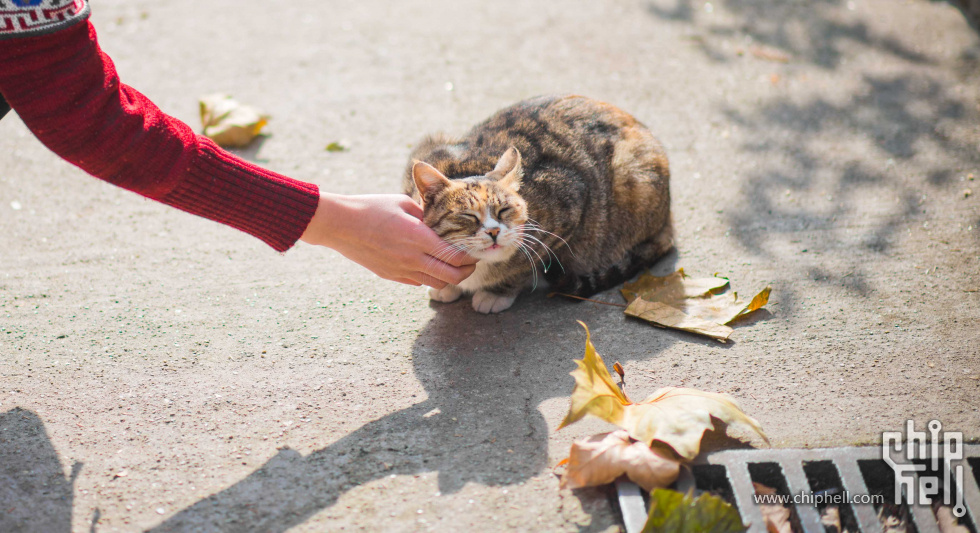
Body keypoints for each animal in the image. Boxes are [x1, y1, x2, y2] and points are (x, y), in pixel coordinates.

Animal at [402, 94, 668, 314]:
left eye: (504, 210)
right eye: (468, 216)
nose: (494, 231)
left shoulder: (568, 209)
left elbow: (524, 266)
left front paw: (496, 293)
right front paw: (446, 285)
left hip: (631, 177)